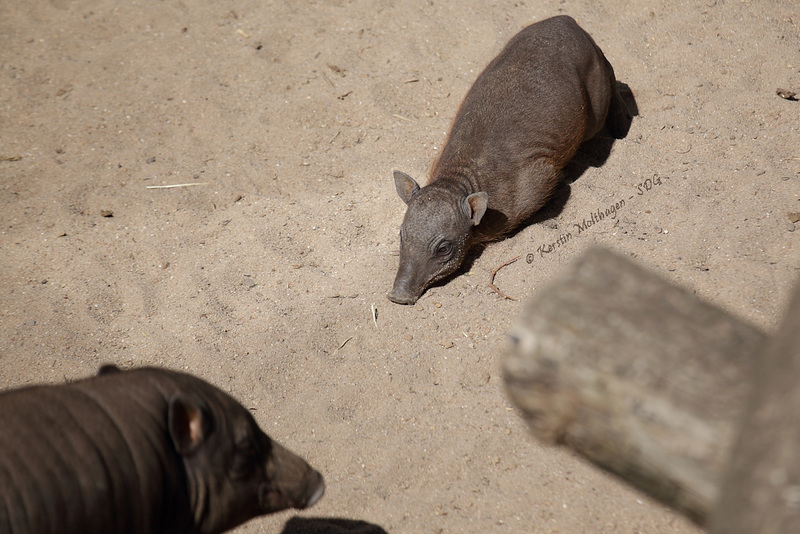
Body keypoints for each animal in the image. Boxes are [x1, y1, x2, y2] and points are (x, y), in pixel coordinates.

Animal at [390, 13, 632, 306]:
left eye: (444, 248)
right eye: (401, 235)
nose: (398, 296)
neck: (458, 182)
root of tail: (567, 20)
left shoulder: (537, 183)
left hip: (596, 106)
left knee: (612, 76)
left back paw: (621, 125)